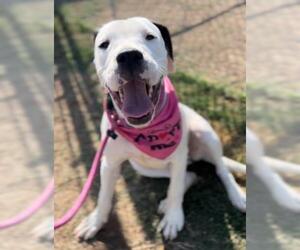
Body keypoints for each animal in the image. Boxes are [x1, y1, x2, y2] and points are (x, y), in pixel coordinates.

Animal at [75, 17, 246, 240]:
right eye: (104, 44)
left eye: (150, 36)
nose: (128, 56)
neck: (145, 129)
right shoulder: (109, 164)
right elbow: (104, 195)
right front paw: (96, 221)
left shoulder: (178, 157)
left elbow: (175, 188)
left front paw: (173, 218)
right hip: (144, 166)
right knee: (189, 175)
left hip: (205, 135)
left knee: (219, 169)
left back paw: (236, 195)